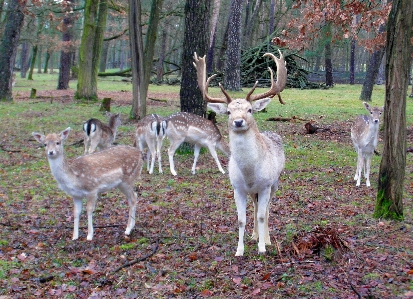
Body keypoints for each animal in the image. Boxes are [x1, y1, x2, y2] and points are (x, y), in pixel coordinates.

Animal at [194, 50, 286, 256]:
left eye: (250, 109)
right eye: (228, 112)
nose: (238, 121)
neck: (250, 173)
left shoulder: (265, 185)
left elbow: (262, 215)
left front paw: (262, 248)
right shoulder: (237, 188)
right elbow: (241, 220)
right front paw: (240, 250)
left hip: (275, 183)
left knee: (266, 210)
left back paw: (267, 239)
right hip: (253, 192)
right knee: (255, 206)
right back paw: (254, 235)